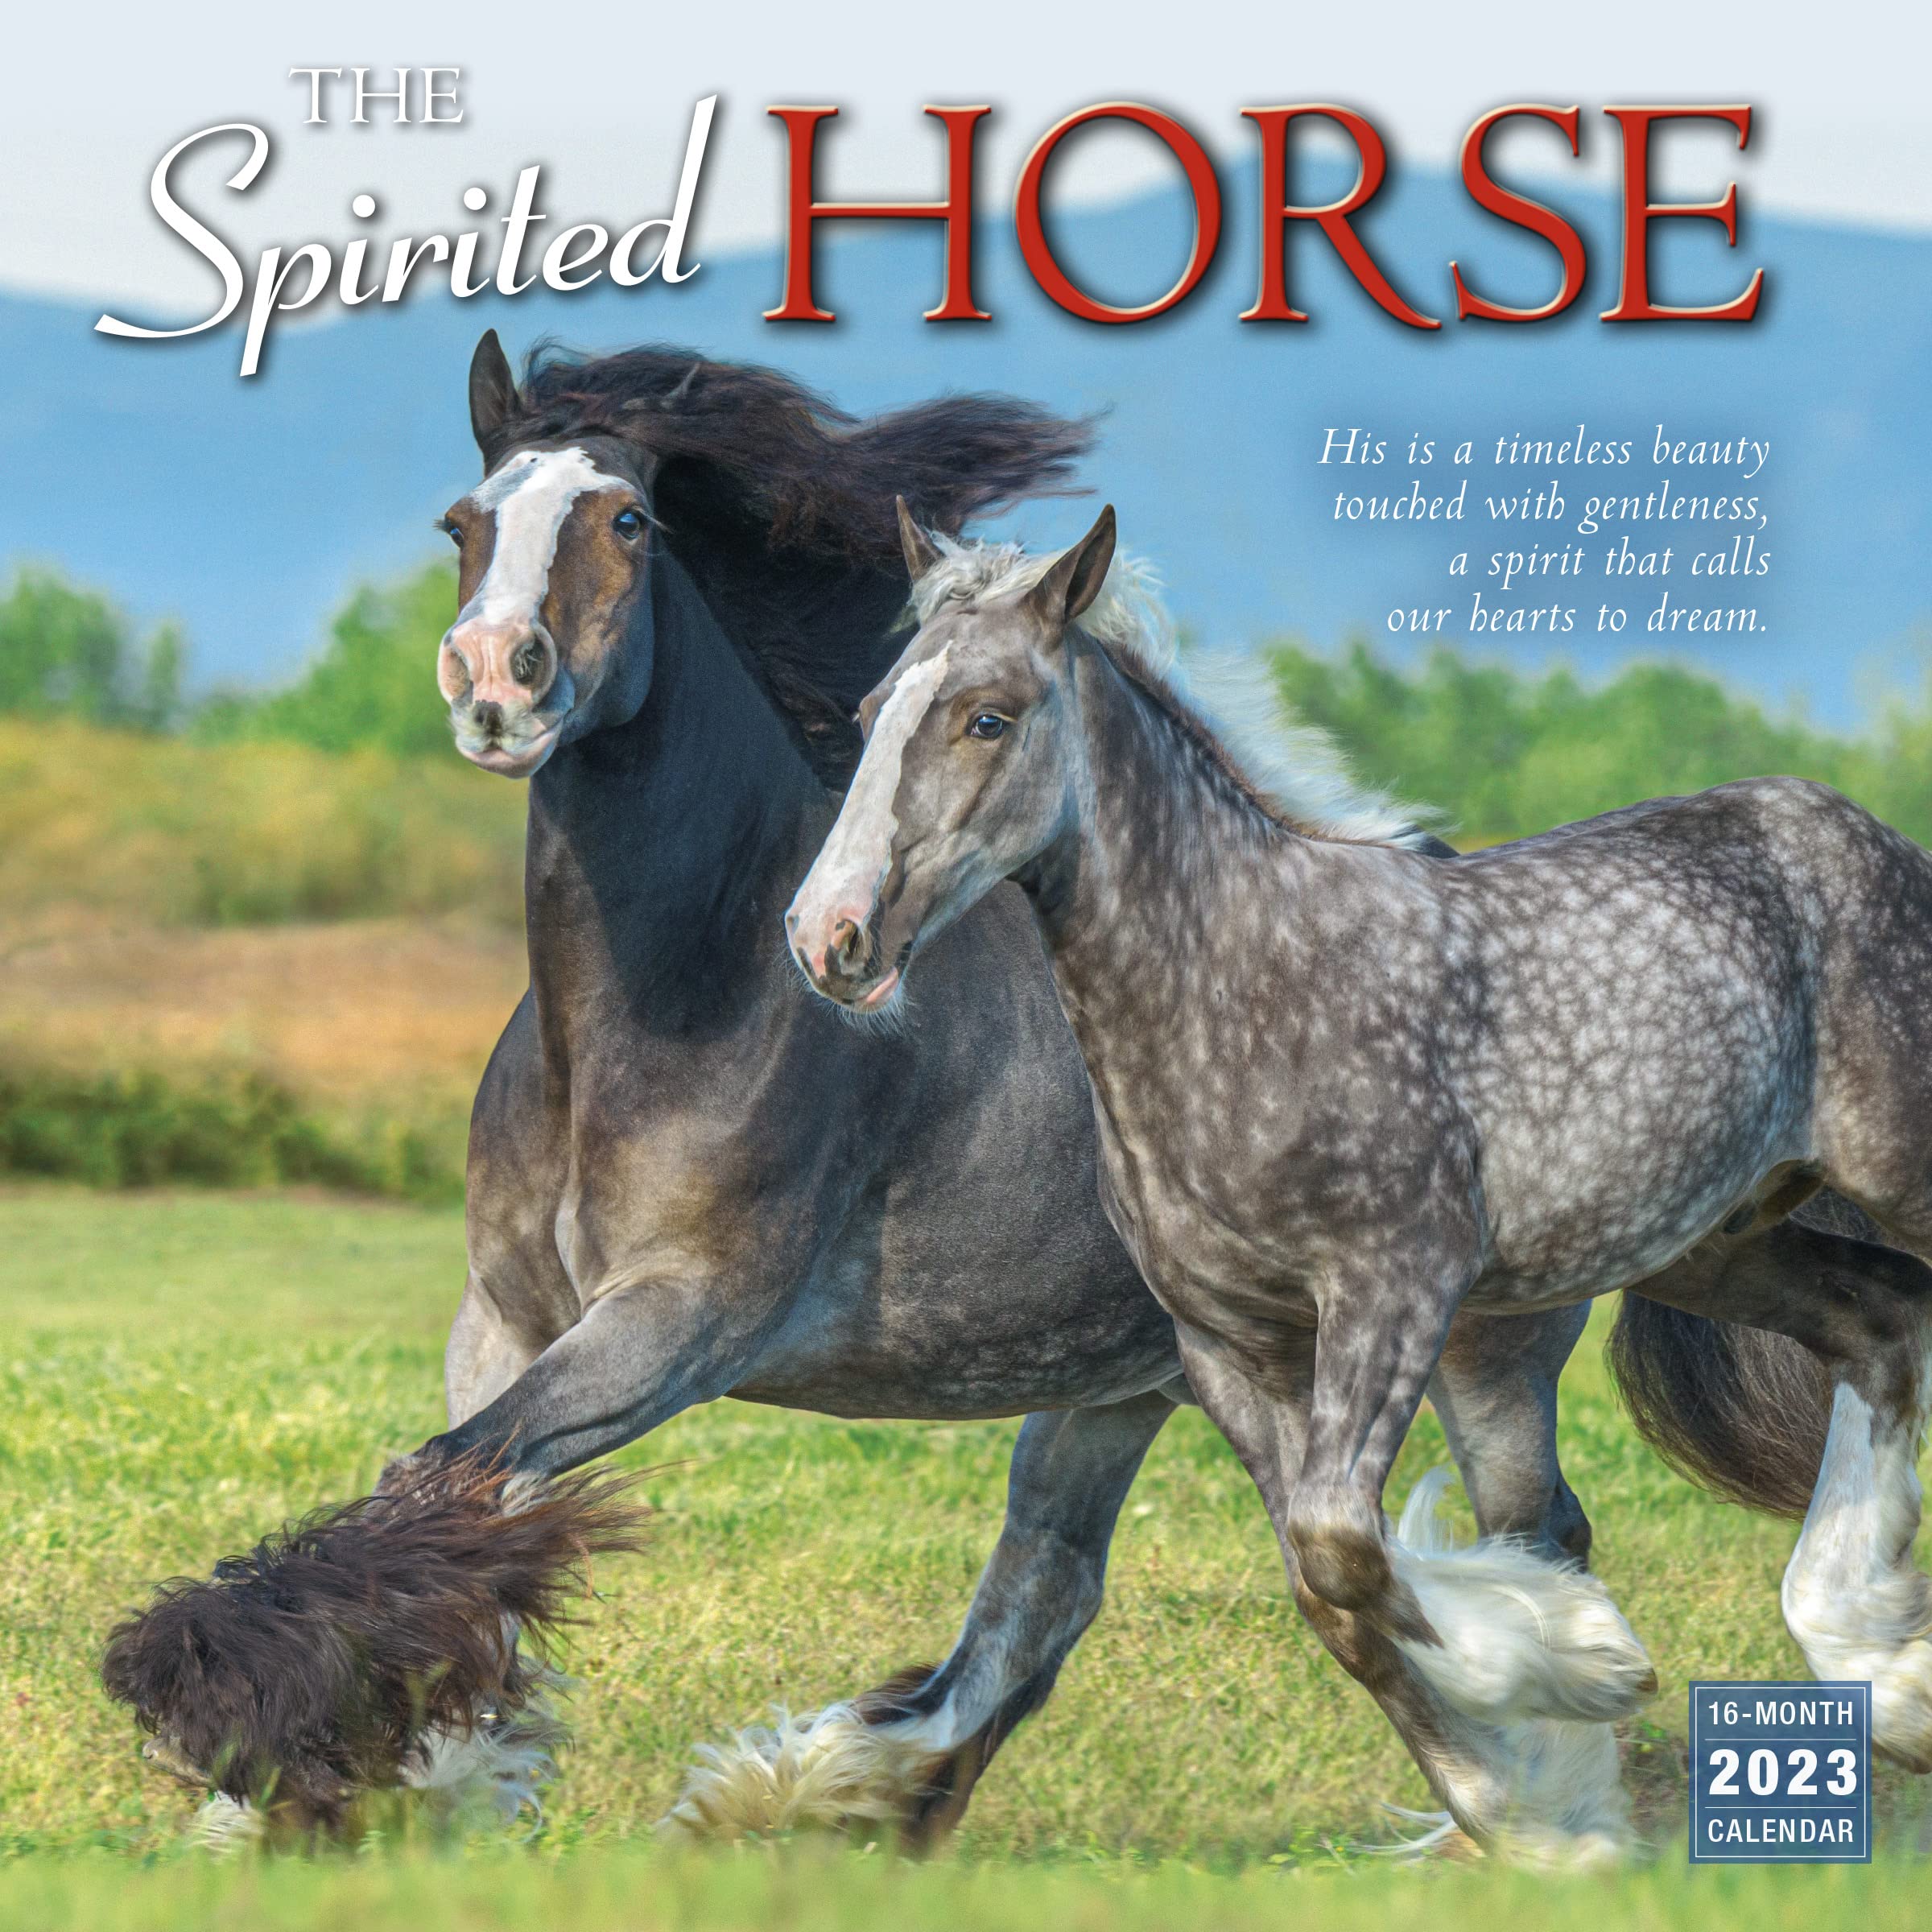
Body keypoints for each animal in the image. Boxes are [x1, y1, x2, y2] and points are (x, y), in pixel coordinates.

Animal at [103, 336, 1623, 1849]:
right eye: (463, 523)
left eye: (629, 520)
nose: (496, 683)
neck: (685, 997)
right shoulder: (506, 1317)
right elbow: (455, 1499)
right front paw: (389, 1780)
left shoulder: (682, 1318)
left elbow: (451, 1480)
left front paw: (265, 1737)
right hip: (1142, 1379)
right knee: (1050, 1594)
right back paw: (841, 1792)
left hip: (1463, 1353)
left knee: (1520, 1538)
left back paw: (1554, 1793)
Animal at [788, 501, 1932, 1861]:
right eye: (872, 712)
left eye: (988, 717)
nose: (831, 938)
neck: (1243, 992)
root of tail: (1867, 841)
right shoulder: (1232, 1346)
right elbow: (1329, 1586)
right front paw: (1541, 1816)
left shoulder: (1395, 1289)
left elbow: (1345, 1542)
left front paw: (1585, 1662)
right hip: (1718, 1243)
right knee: (1884, 1325)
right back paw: (1885, 1677)